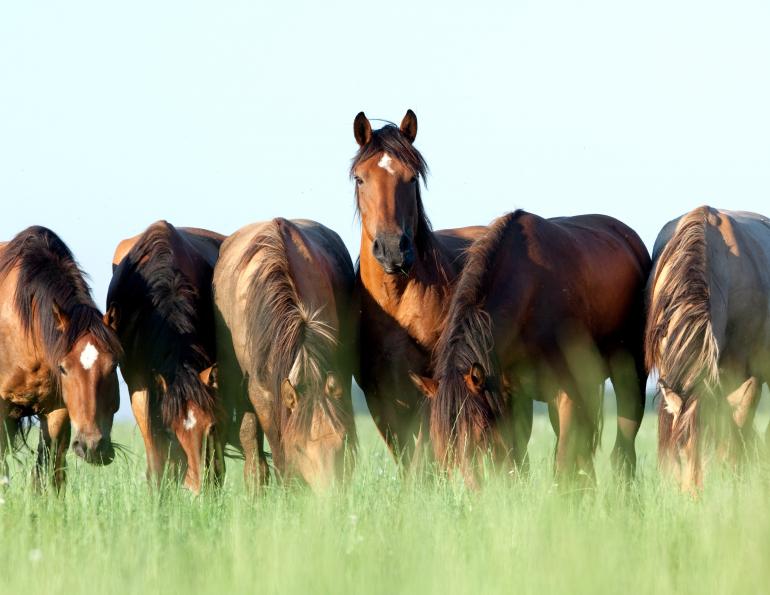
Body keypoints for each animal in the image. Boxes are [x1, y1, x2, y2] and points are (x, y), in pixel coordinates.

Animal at [351, 110, 486, 465]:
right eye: (360, 179)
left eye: (412, 178)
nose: (392, 250)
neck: (396, 302)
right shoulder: (380, 394)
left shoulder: (430, 384)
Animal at [411, 210, 651, 488]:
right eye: (440, 442)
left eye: (480, 434)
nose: (469, 492)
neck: (529, 295)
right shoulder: (509, 395)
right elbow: (516, 460)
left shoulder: (567, 393)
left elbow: (563, 461)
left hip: (630, 378)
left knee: (623, 448)